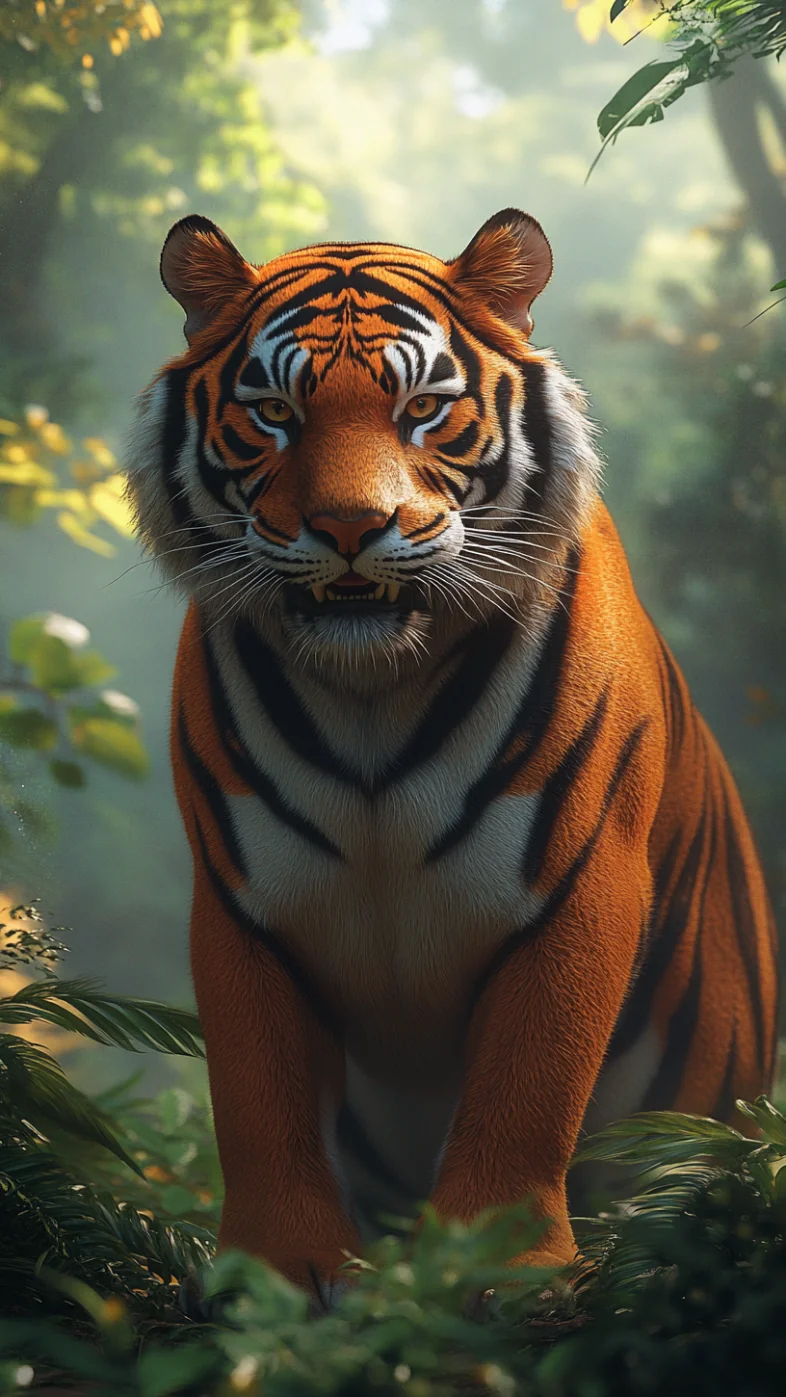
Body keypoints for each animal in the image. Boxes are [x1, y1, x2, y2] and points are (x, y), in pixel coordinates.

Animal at [127, 207, 779, 1301]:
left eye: (423, 407)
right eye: (274, 411)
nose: (351, 526)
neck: (371, 696)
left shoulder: (578, 882)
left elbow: (527, 1085)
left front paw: (498, 1263)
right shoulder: (243, 901)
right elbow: (259, 1094)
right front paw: (279, 1269)